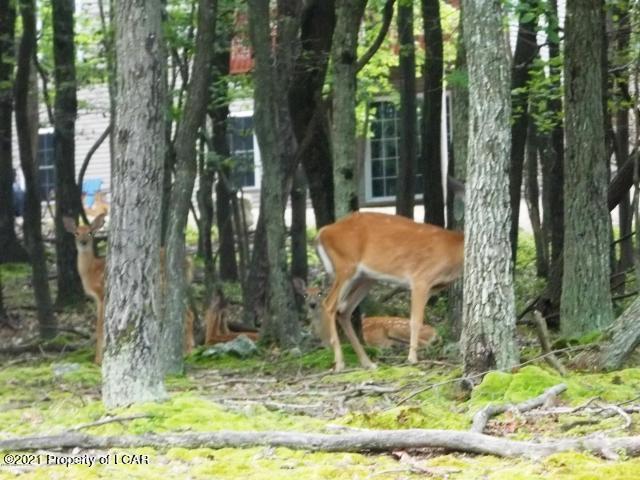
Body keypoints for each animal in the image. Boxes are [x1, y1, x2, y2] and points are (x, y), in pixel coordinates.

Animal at [316, 212, 462, 374]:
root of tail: (323, 232)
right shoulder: (420, 279)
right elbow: (415, 320)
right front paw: (412, 359)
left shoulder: (432, 288)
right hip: (346, 266)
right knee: (329, 304)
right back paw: (340, 364)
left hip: (366, 277)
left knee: (344, 310)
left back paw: (368, 363)